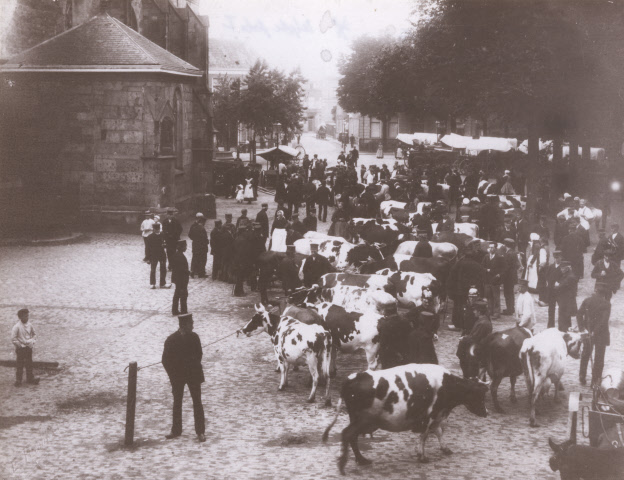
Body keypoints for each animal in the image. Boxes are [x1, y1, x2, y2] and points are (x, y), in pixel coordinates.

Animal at [324, 364, 490, 472]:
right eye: (480, 394)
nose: (487, 412)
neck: (446, 385)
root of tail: (356, 377)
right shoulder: (430, 415)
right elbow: (424, 436)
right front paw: (422, 456)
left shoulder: (437, 415)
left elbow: (438, 432)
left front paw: (445, 448)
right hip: (363, 420)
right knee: (347, 434)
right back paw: (344, 464)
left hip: (356, 419)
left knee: (352, 437)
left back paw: (361, 460)